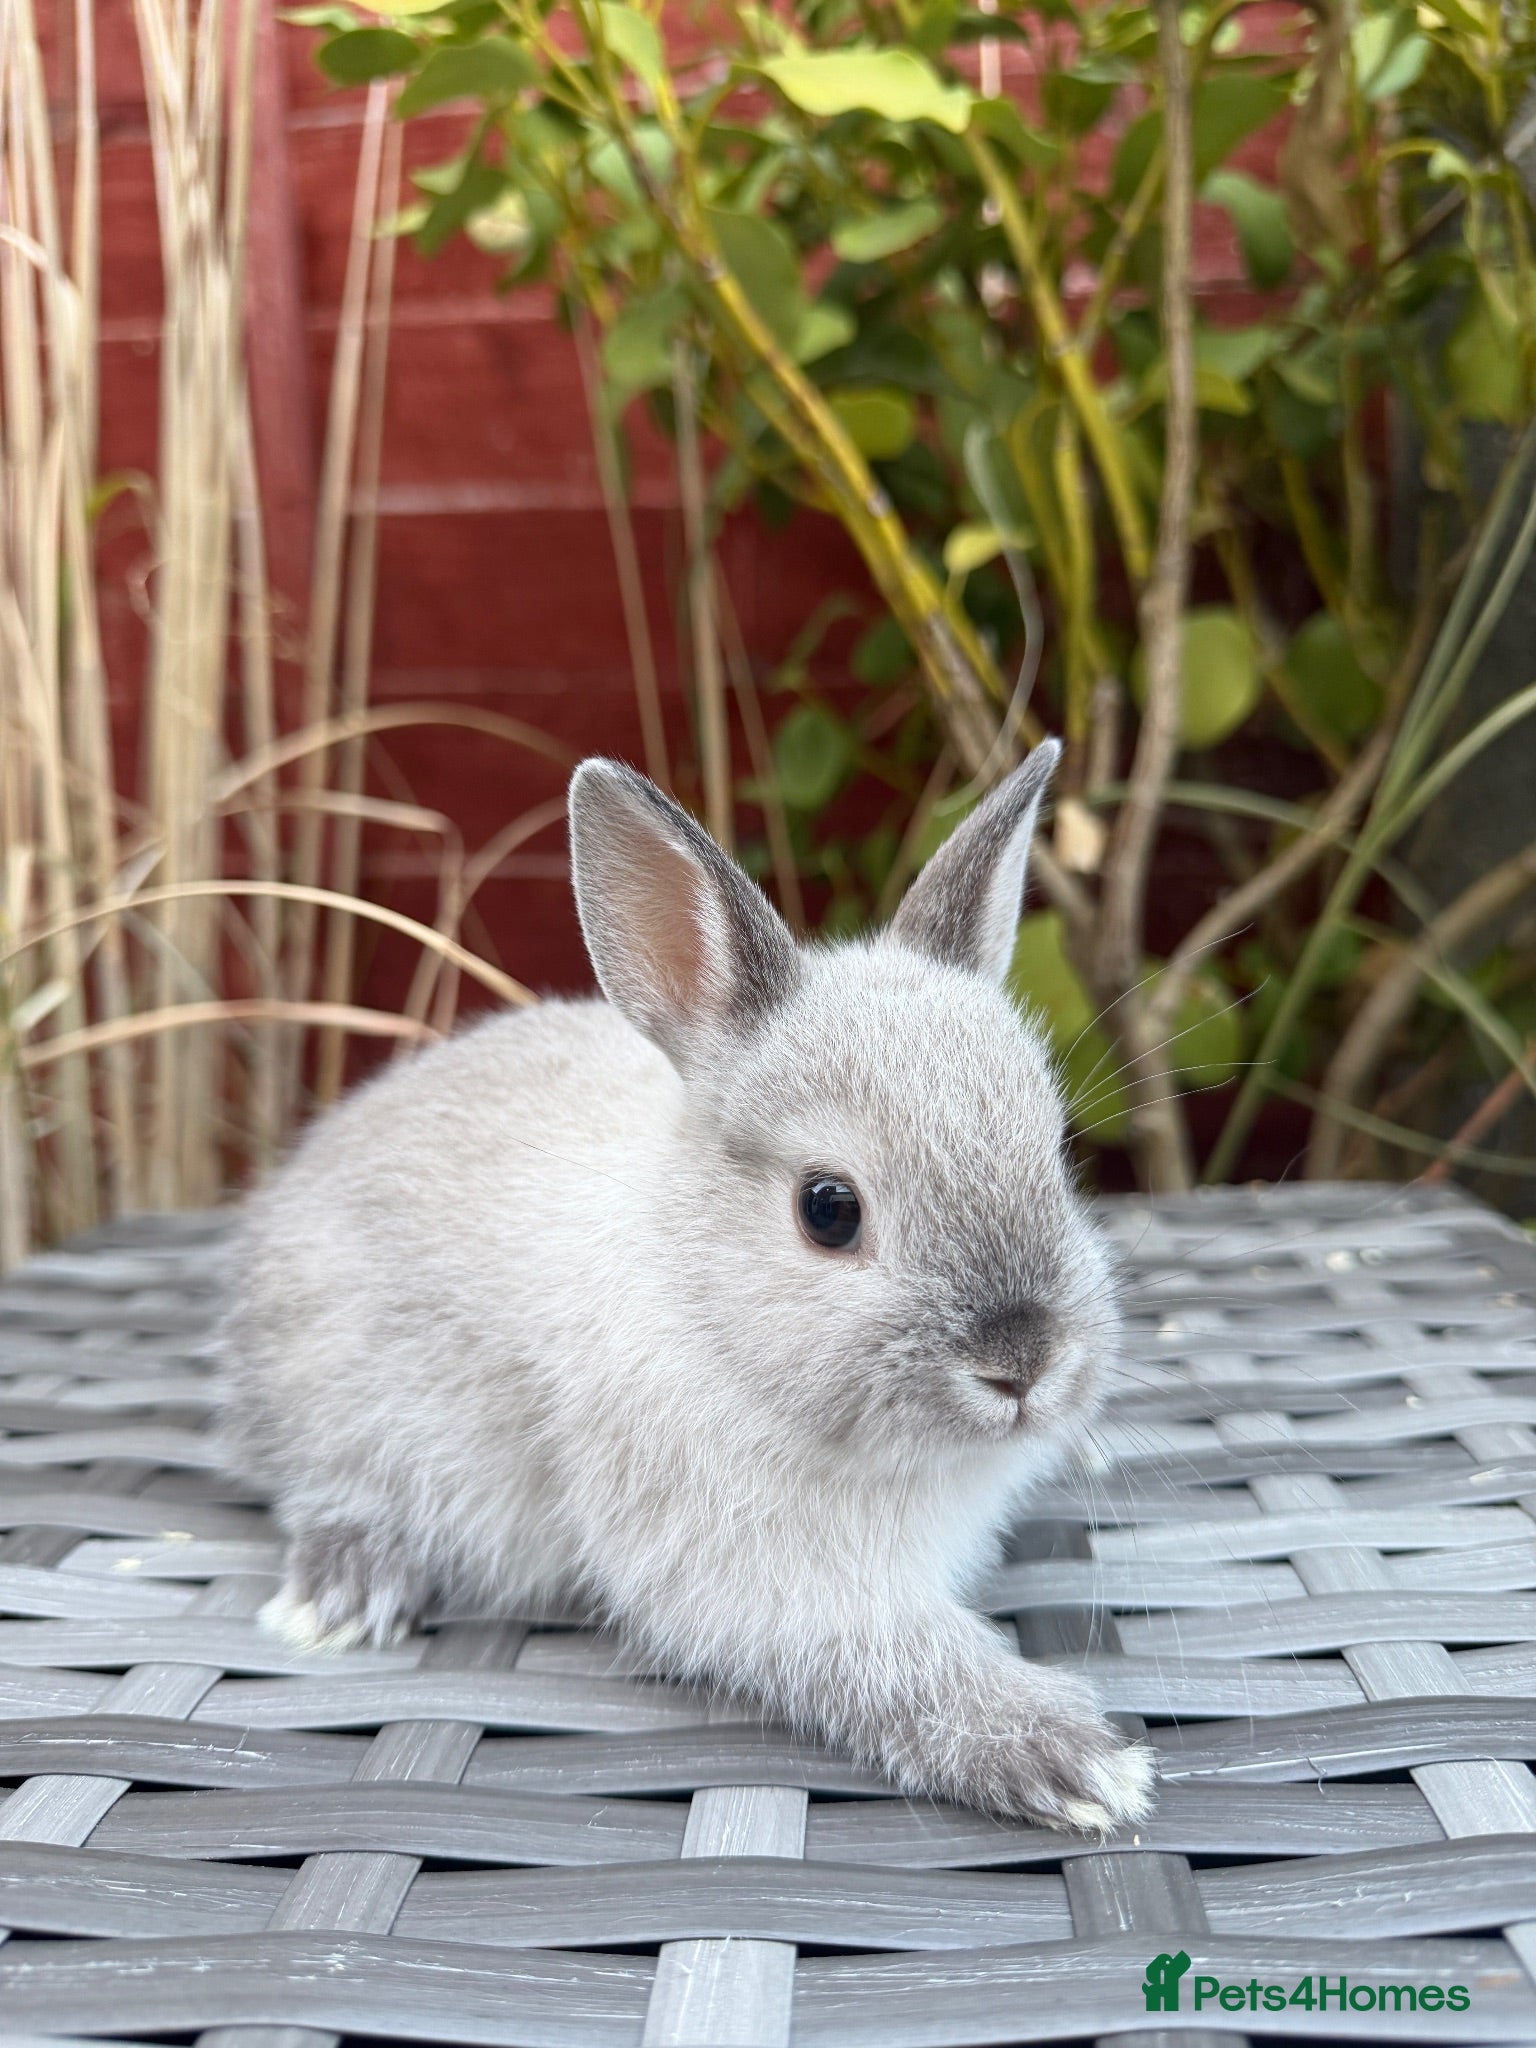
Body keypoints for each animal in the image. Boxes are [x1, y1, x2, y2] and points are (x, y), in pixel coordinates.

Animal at [220, 740, 1154, 1832]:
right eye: (828, 1208)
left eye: (1056, 1156)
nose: (1024, 1364)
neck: (704, 1300)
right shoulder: (764, 1583)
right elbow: (899, 1664)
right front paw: (1078, 1762)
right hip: (349, 1402)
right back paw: (338, 1597)